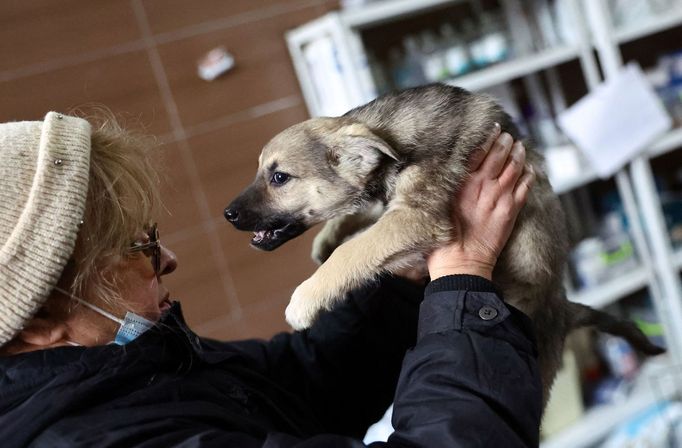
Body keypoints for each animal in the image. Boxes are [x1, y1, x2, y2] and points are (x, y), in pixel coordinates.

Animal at [226, 83, 660, 400]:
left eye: (279, 177)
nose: (228, 214)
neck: (392, 136)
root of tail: (565, 307)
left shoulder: (416, 216)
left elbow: (356, 248)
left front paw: (305, 299)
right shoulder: (392, 206)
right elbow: (358, 217)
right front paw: (325, 240)